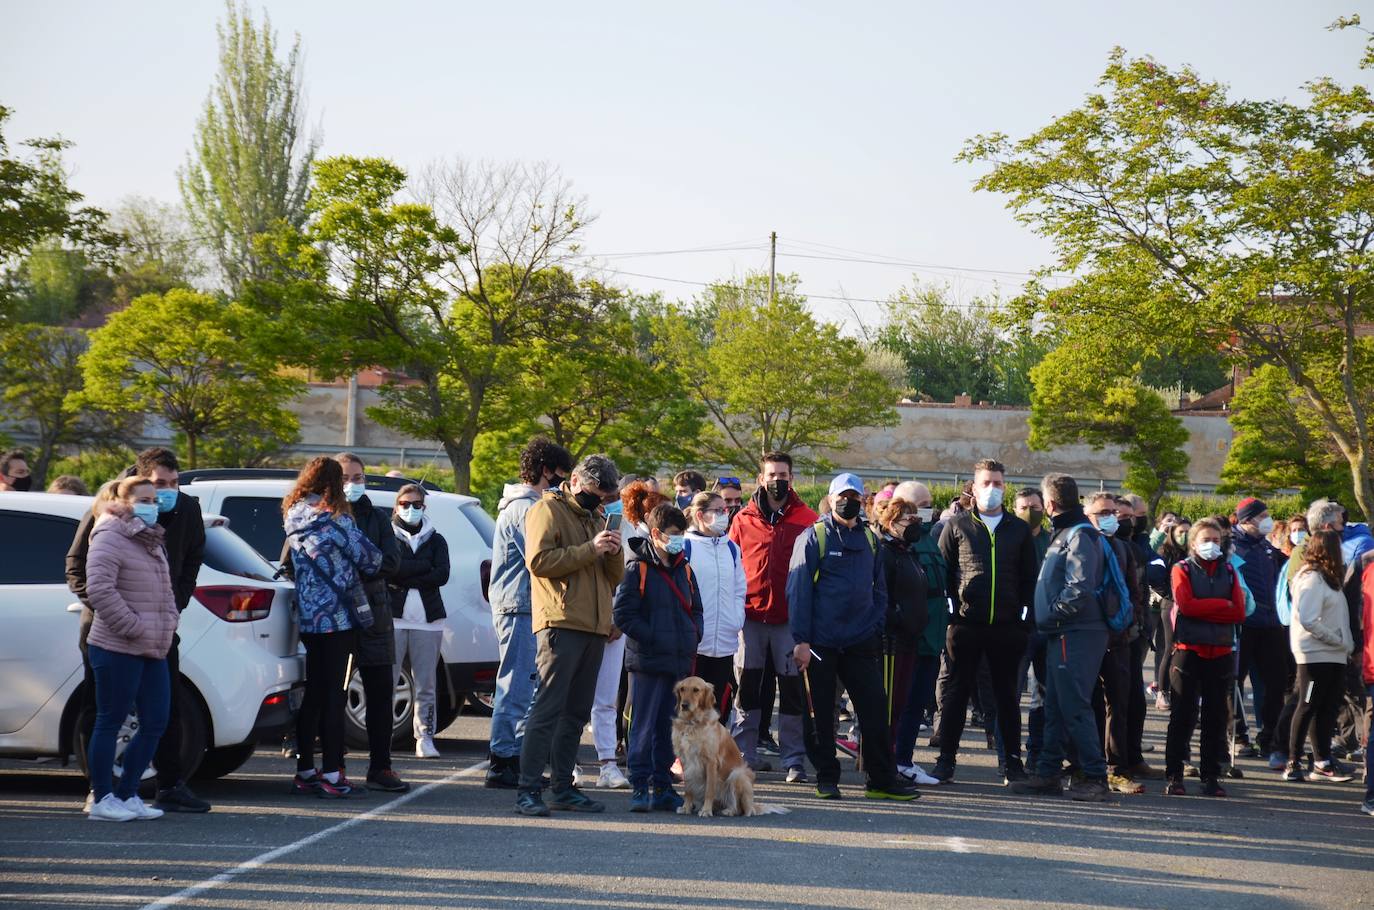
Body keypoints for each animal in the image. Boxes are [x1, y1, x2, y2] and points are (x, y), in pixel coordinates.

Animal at [670, 676, 791, 819]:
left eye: (696, 690)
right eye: (682, 689)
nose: (684, 705)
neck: (692, 723)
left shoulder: (710, 762)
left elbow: (709, 790)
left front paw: (706, 810)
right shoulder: (685, 761)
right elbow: (688, 790)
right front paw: (686, 807)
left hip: (737, 774)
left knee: (740, 809)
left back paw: (729, 811)